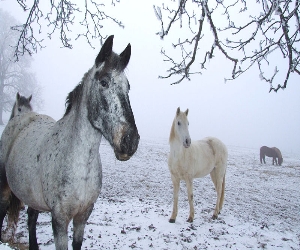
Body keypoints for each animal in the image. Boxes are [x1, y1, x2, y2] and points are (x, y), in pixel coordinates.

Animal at [0, 35, 140, 250]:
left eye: (128, 86)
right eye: (104, 82)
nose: (130, 141)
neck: (79, 164)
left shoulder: (83, 216)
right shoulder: (59, 219)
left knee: (31, 218)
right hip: (4, 187)